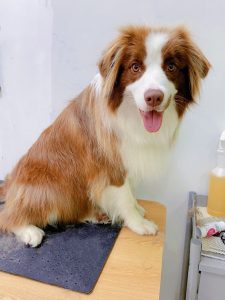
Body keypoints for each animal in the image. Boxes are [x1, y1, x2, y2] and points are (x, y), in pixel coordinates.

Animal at [0, 25, 210, 246]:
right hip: (52, 189)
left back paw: (95, 215)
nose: (154, 97)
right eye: (135, 67)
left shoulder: (127, 158)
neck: (131, 113)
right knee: (8, 216)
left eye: (171, 66)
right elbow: (124, 197)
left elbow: (130, 193)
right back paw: (29, 230)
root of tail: (11, 184)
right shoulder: (109, 163)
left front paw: (137, 208)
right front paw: (138, 223)